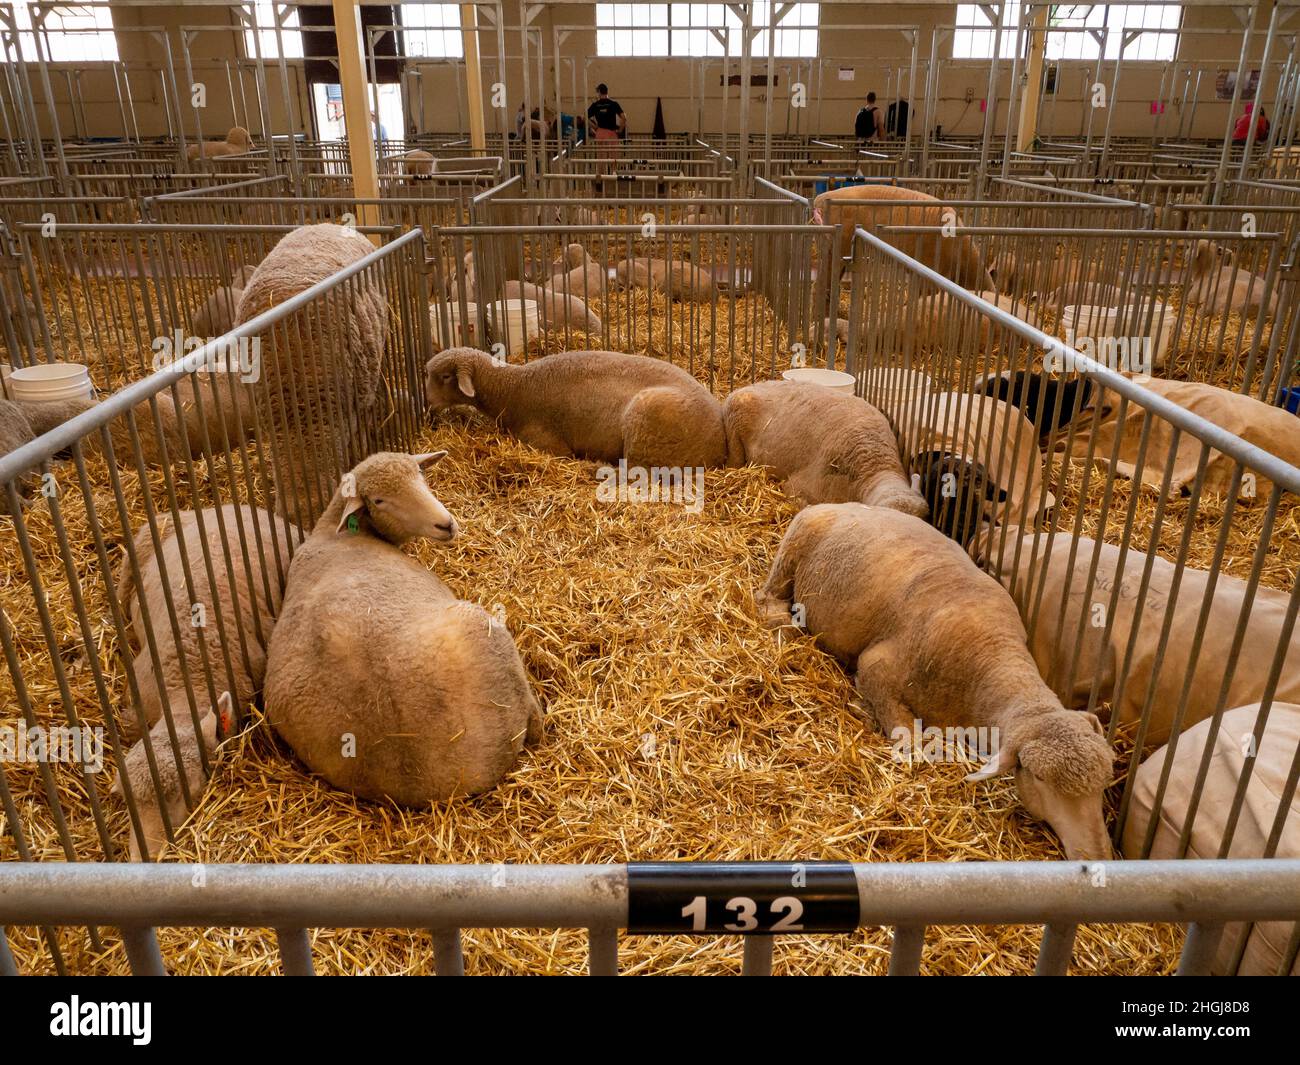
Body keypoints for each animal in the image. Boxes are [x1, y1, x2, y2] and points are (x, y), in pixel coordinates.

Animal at [757, 503, 1115, 860]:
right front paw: (869, 712)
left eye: (1104, 781)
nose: (1097, 855)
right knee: (767, 596)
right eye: (1039, 778)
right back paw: (782, 624)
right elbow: (906, 735)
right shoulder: (876, 667)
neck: (994, 660)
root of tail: (837, 505)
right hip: (791, 554)